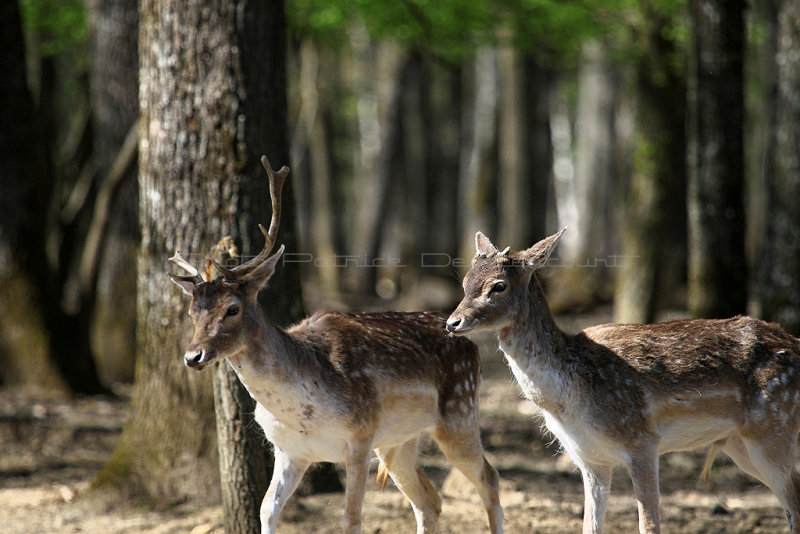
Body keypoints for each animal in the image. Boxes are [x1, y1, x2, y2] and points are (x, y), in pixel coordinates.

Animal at [168, 157, 504, 532]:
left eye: (232, 308)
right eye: (192, 311)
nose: (193, 356)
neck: (303, 408)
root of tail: (470, 344)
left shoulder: (359, 436)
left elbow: (351, 519)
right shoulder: (290, 451)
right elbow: (266, 509)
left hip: (459, 413)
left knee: (490, 479)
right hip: (399, 441)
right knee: (430, 501)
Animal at [446, 230, 800, 534]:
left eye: (498, 286)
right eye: (465, 281)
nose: (452, 322)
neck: (571, 398)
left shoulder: (642, 441)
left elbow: (650, 525)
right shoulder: (589, 458)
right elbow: (589, 526)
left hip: (773, 430)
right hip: (739, 443)